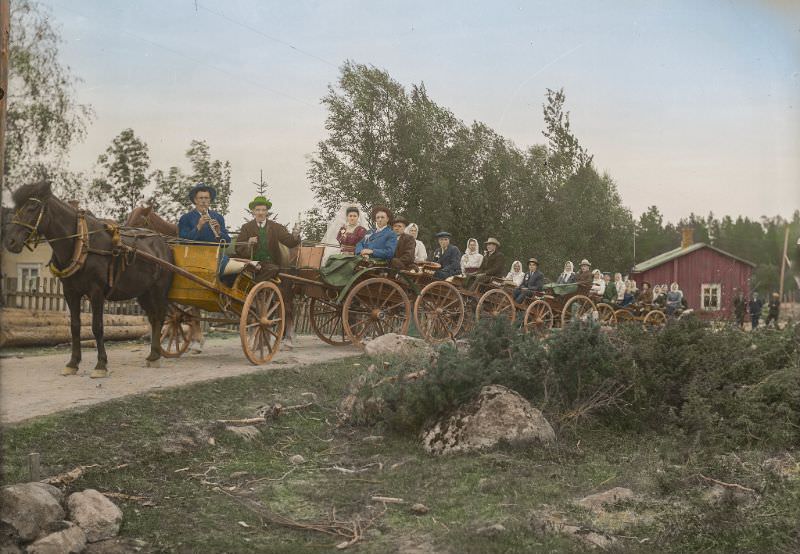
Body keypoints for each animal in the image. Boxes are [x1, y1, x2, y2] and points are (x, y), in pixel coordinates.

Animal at [3, 180, 173, 376]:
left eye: (32, 207)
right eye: (15, 208)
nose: (9, 242)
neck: (81, 243)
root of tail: (162, 242)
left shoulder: (96, 292)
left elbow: (97, 327)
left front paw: (101, 365)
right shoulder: (71, 292)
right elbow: (75, 326)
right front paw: (72, 363)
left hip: (159, 290)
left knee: (160, 316)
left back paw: (156, 355)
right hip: (143, 292)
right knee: (153, 318)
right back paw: (152, 354)